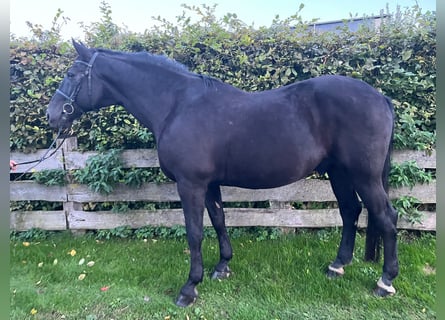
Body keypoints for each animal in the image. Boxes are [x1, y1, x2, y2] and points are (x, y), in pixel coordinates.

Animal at [46, 40, 398, 308]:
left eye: (72, 74)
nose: (51, 115)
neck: (176, 105)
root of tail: (380, 97)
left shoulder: (190, 184)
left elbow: (195, 232)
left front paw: (189, 288)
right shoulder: (210, 184)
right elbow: (219, 221)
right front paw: (222, 267)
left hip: (364, 176)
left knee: (386, 217)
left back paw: (385, 281)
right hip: (340, 173)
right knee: (350, 211)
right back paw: (337, 267)